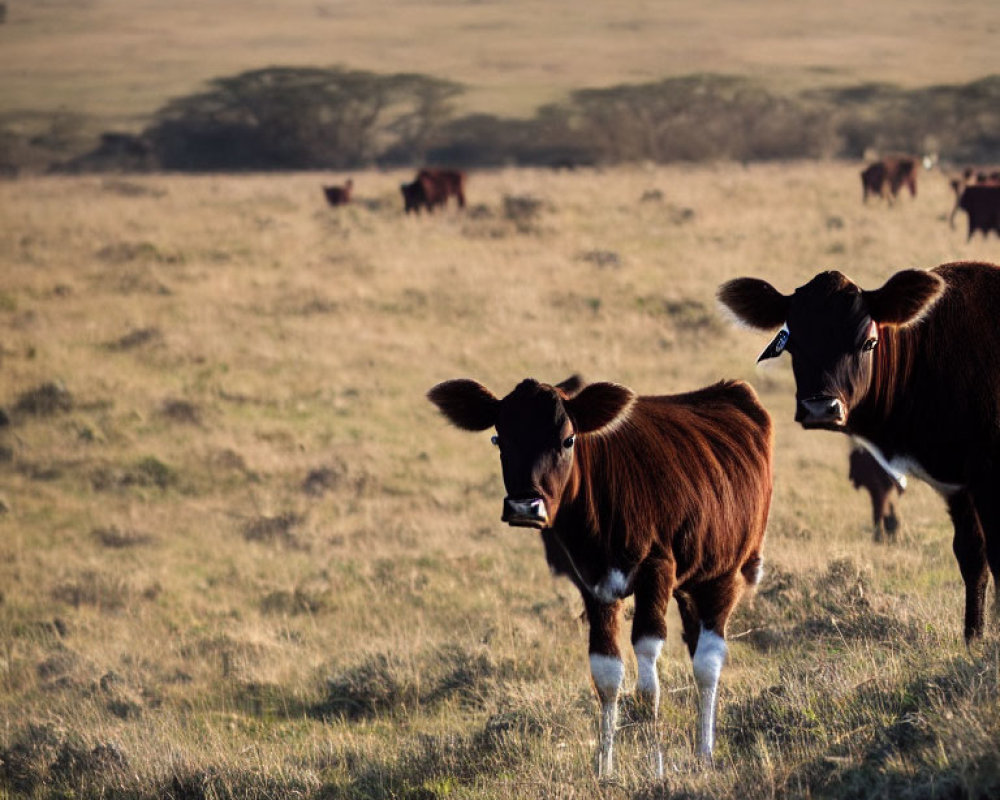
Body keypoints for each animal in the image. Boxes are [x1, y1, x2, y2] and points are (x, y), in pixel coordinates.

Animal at [428, 376, 772, 776]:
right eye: (499, 438)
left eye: (568, 440)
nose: (524, 506)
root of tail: (731, 390)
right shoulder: (592, 583)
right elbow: (606, 674)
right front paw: (604, 770)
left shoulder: (656, 568)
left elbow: (647, 684)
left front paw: (653, 765)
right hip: (690, 585)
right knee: (695, 646)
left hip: (726, 572)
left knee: (708, 662)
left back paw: (705, 752)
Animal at [720, 262, 1000, 644]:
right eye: (792, 345)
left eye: (869, 342)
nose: (821, 408)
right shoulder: (957, 484)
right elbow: (972, 555)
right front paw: (974, 638)